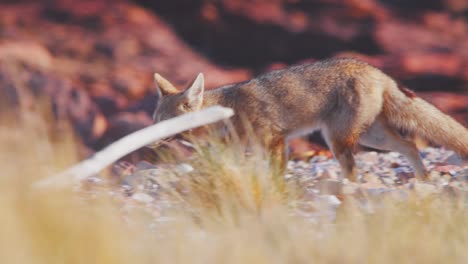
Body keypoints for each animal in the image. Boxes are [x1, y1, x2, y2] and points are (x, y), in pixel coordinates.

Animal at [153, 57, 468, 182]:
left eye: (164, 123)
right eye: (154, 120)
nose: (151, 141)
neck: (225, 113)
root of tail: (376, 70)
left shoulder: (276, 141)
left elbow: (275, 174)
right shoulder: (241, 151)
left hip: (338, 141)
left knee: (355, 170)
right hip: (372, 137)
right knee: (410, 145)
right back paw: (423, 180)